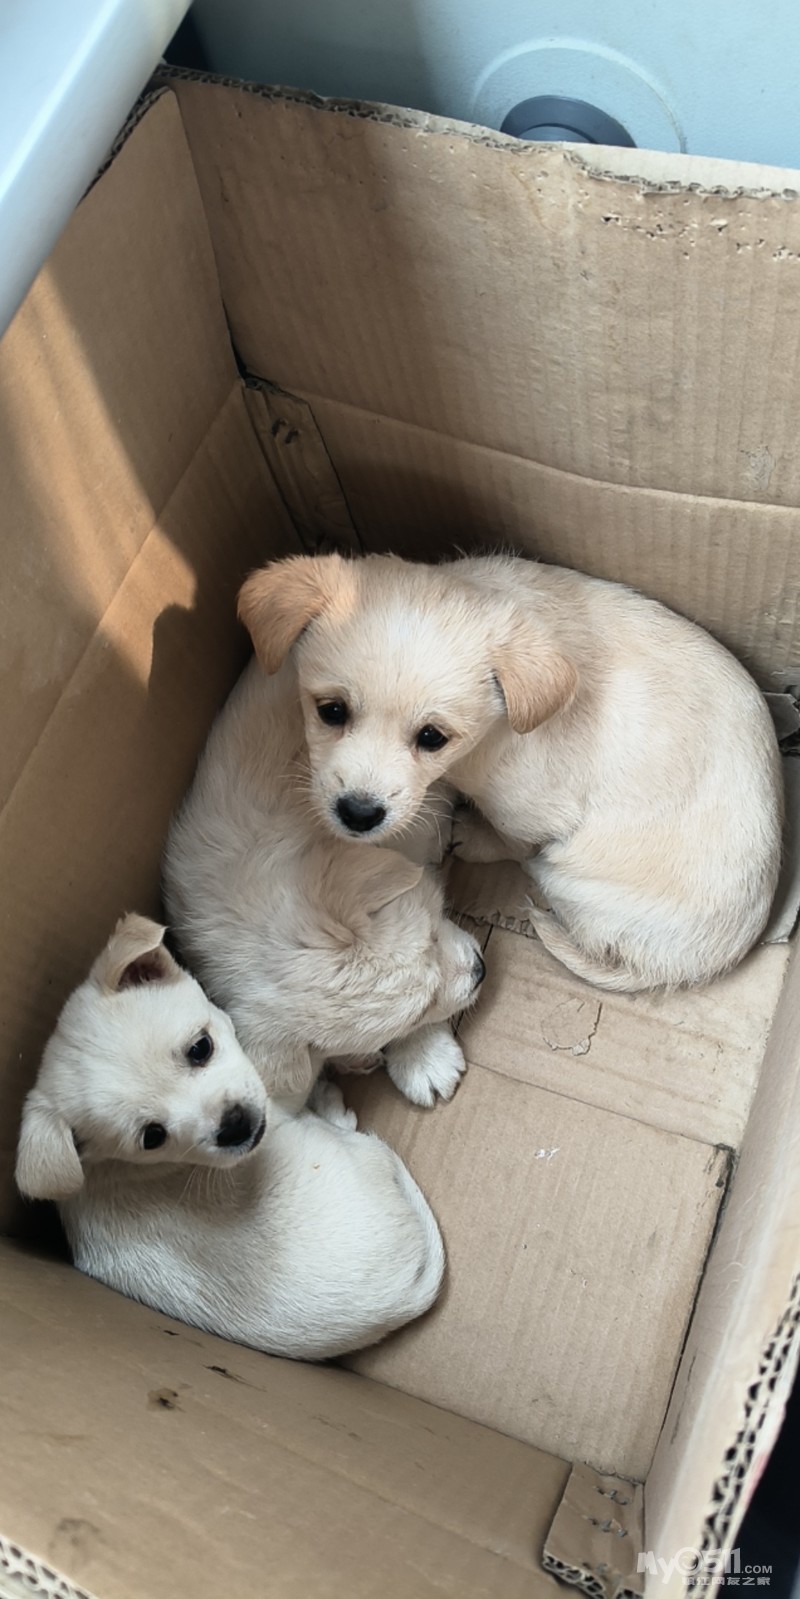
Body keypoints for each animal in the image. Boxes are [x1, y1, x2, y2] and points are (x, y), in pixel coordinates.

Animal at [15, 916, 445, 1360]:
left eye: (200, 1048)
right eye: (152, 1137)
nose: (236, 1126)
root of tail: (402, 1304)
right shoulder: (281, 1098)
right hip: (358, 1153)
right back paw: (332, 1102)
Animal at [235, 551, 784, 992]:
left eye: (432, 737)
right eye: (331, 711)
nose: (358, 815)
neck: (494, 735)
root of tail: (690, 966)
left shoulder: (533, 814)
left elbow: (512, 842)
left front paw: (473, 837)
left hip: (564, 874)